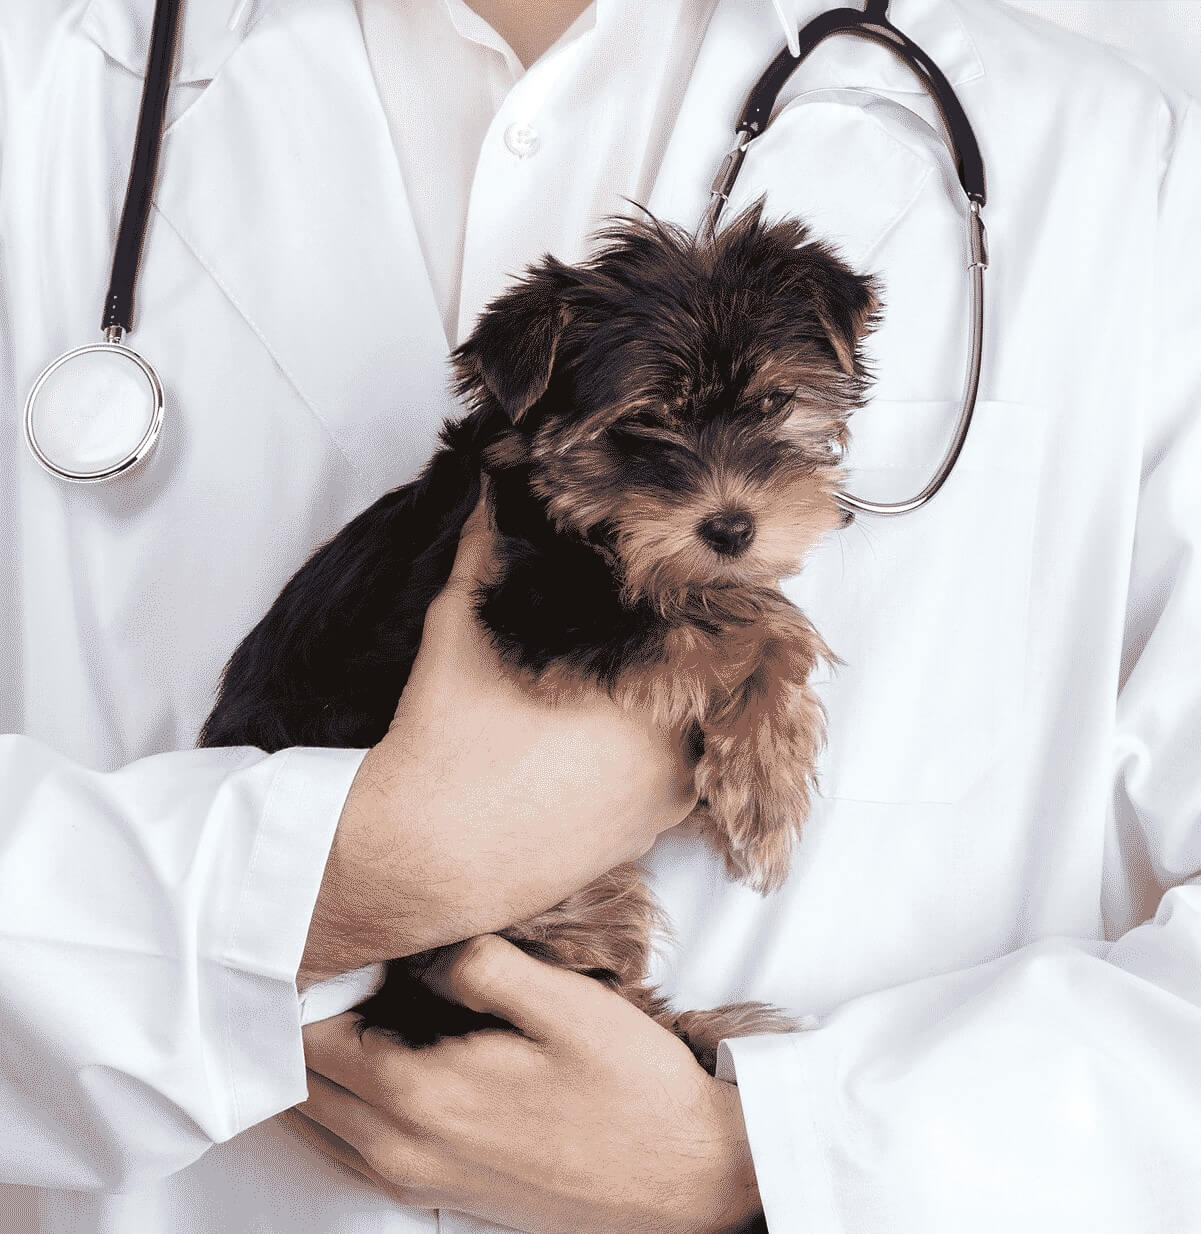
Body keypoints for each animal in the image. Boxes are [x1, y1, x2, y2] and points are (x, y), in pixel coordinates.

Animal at [198, 197, 878, 1076]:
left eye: (771, 404)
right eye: (641, 426)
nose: (731, 527)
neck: (577, 515)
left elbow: (731, 607)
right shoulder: (539, 606)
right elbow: (745, 624)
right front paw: (764, 789)